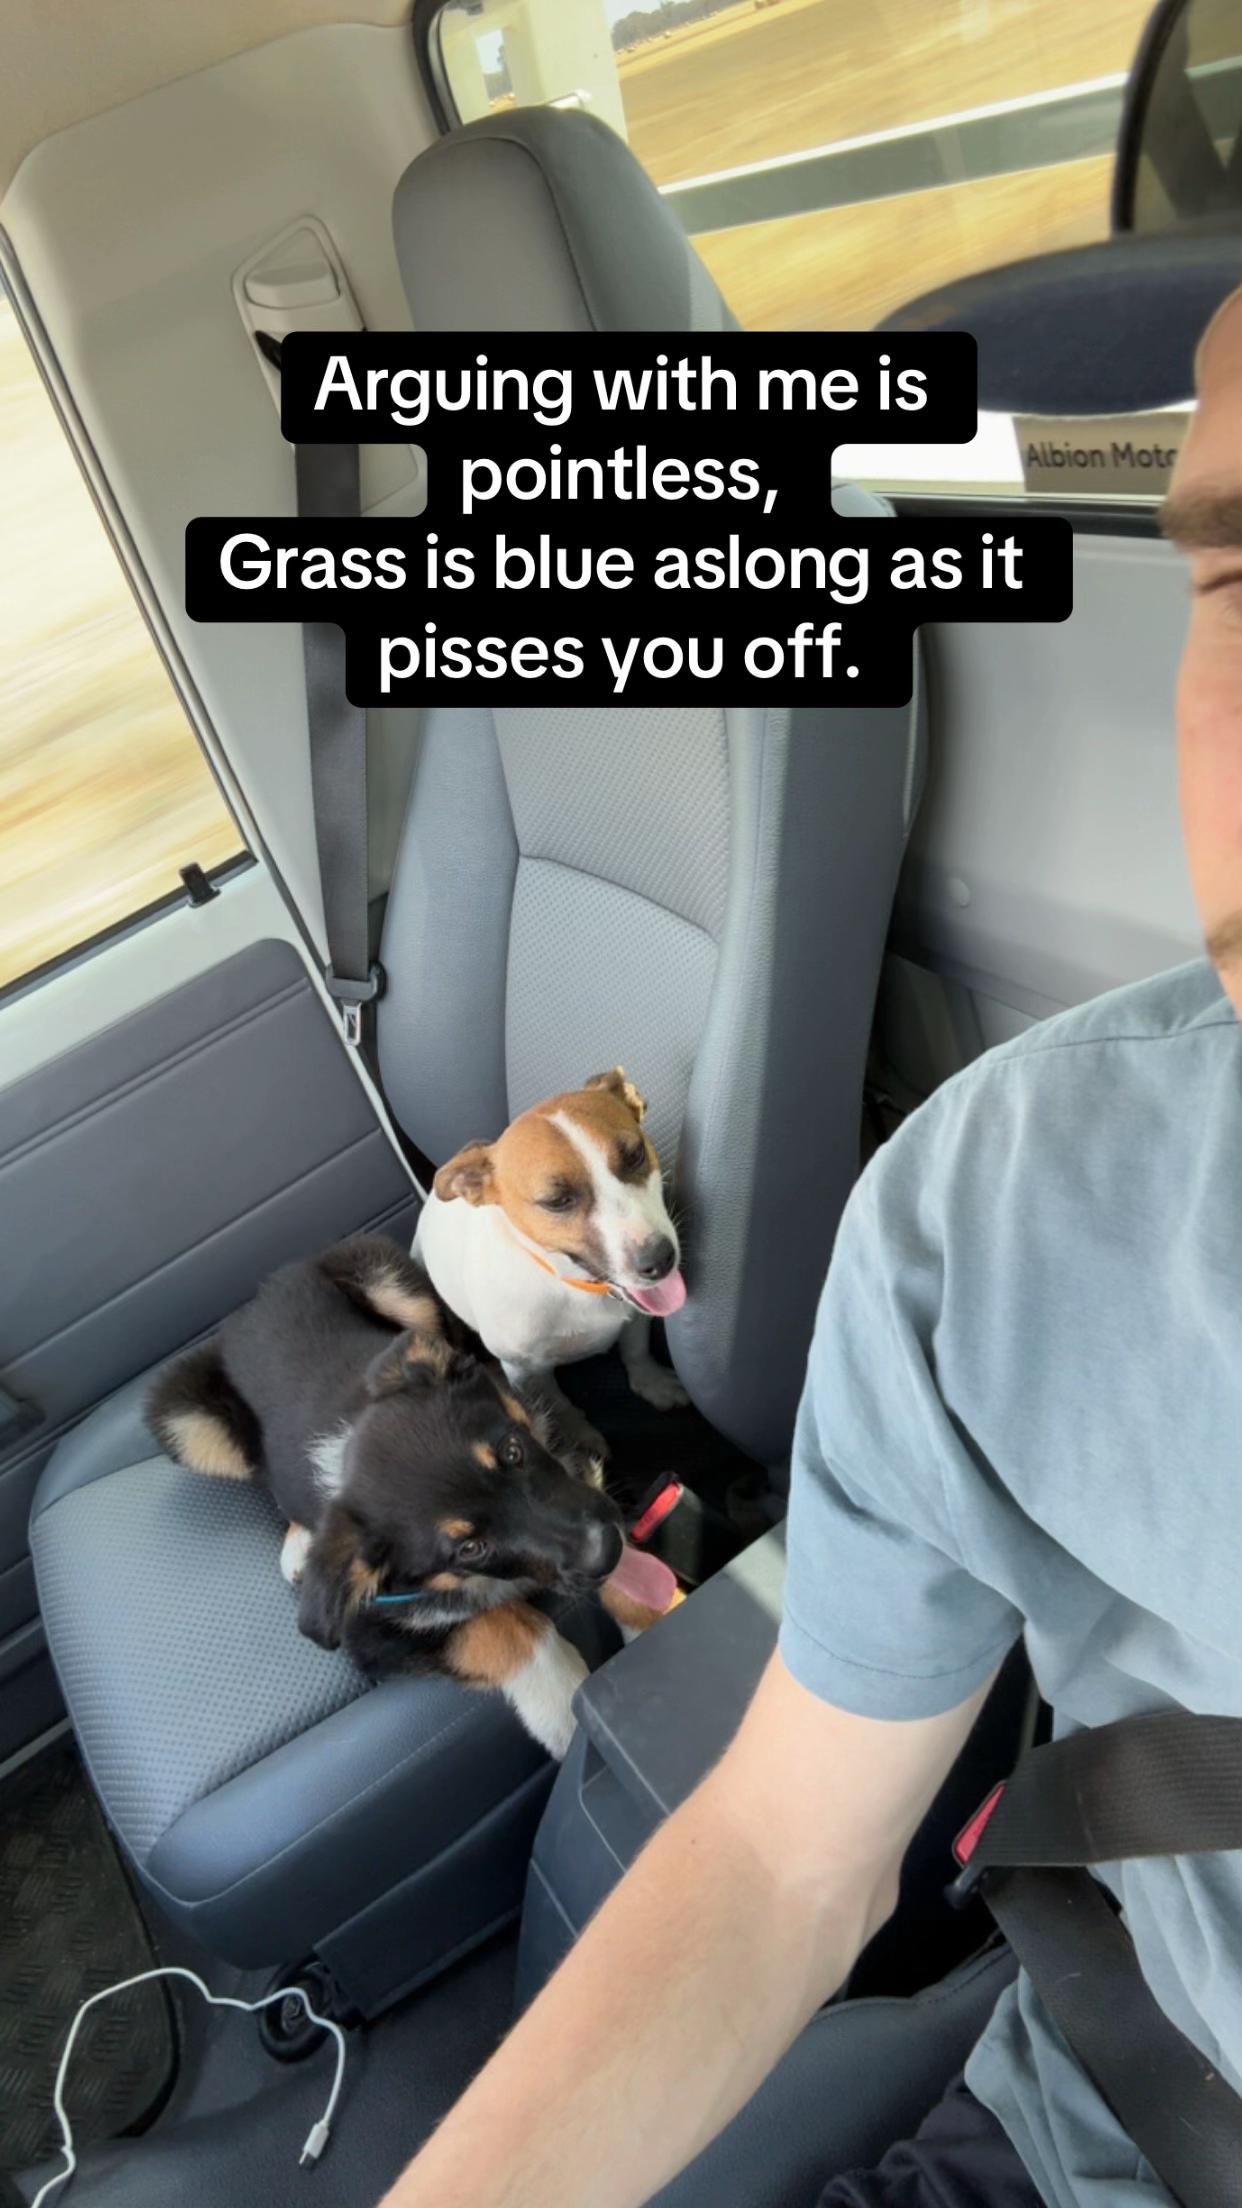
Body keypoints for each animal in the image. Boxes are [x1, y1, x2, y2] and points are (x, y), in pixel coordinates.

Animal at [145, 1235, 626, 1758]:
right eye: (468, 1548)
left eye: (513, 1452)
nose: (607, 1548)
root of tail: (248, 1304)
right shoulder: (371, 1635)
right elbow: (500, 1625)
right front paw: (565, 1708)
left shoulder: (570, 1477)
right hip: (184, 1419)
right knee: (260, 1475)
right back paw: (298, 1541)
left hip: (382, 1270)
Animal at [415, 1068, 689, 1453]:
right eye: (556, 1201)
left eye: (635, 1154)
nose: (660, 1260)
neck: (575, 1286)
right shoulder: (525, 1369)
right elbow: (554, 1402)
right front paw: (576, 1436)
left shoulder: (636, 1317)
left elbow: (636, 1349)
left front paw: (651, 1382)